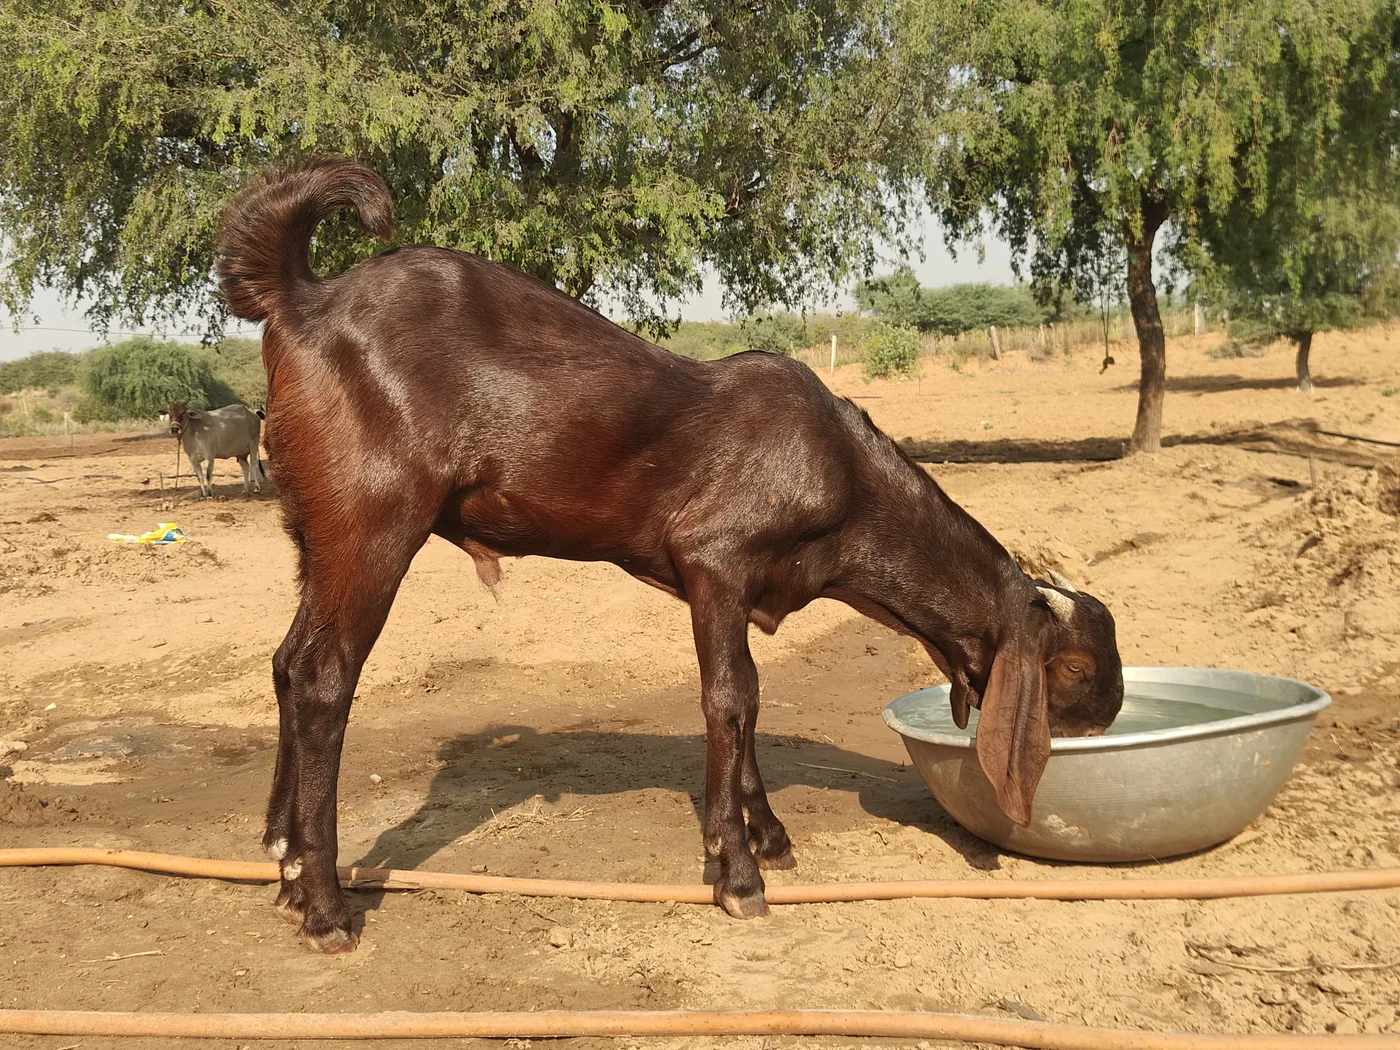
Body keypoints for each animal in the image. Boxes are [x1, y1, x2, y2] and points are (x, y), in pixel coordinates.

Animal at [215, 157, 1124, 954]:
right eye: (1075, 670)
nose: (1110, 714)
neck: (845, 471)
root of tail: (305, 296)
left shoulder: (740, 589)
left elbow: (751, 701)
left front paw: (767, 833)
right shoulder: (715, 559)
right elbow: (730, 700)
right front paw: (738, 872)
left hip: (315, 530)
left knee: (287, 662)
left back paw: (284, 864)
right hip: (372, 521)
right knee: (324, 678)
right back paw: (326, 906)